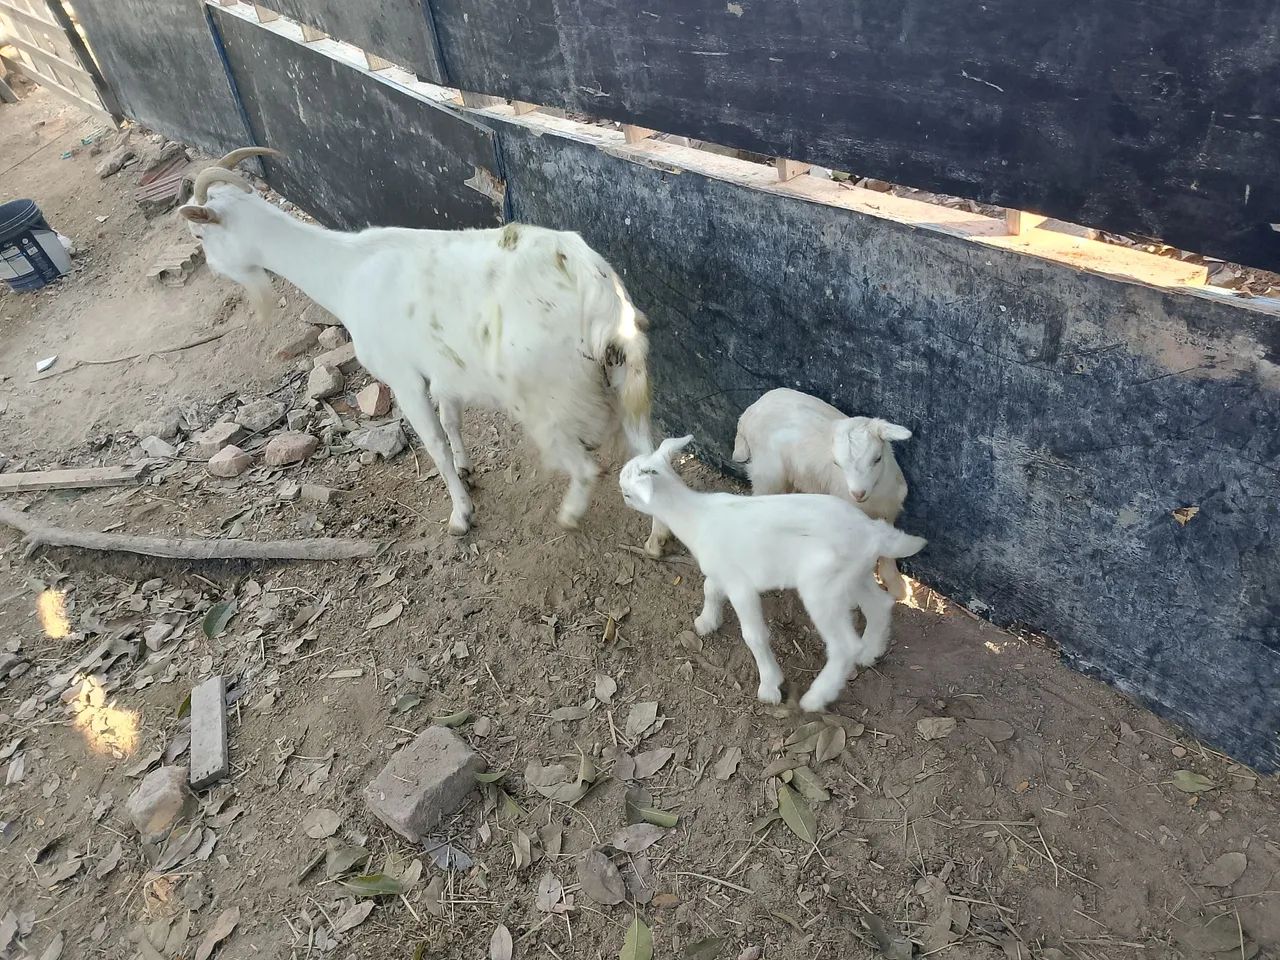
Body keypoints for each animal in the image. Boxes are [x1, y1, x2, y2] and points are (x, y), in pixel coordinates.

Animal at [177, 148, 668, 555]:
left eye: (200, 237)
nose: (211, 268)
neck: (345, 271)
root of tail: (593, 288)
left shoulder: (404, 377)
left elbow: (433, 443)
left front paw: (461, 515)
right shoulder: (442, 371)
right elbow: (451, 422)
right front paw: (467, 470)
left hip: (544, 395)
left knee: (586, 468)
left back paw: (569, 516)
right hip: (627, 376)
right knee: (648, 456)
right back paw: (658, 538)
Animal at [619, 436, 926, 711]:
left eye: (627, 493)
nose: (621, 496)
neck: (694, 516)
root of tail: (873, 531)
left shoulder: (741, 586)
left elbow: (754, 635)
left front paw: (770, 686)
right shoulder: (723, 571)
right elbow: (710, 589)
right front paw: (706, 622)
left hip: (821, 588)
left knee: (844, 645)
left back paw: (816, 698)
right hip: (854, 574)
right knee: (879, 604)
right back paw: (871, 652)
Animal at [733, 388, 913, 599]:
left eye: (877, 458)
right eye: (837, 464)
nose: (858, 493)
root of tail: (749, 412)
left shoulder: (888, 510)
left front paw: (897, 586)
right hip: (768, 472)